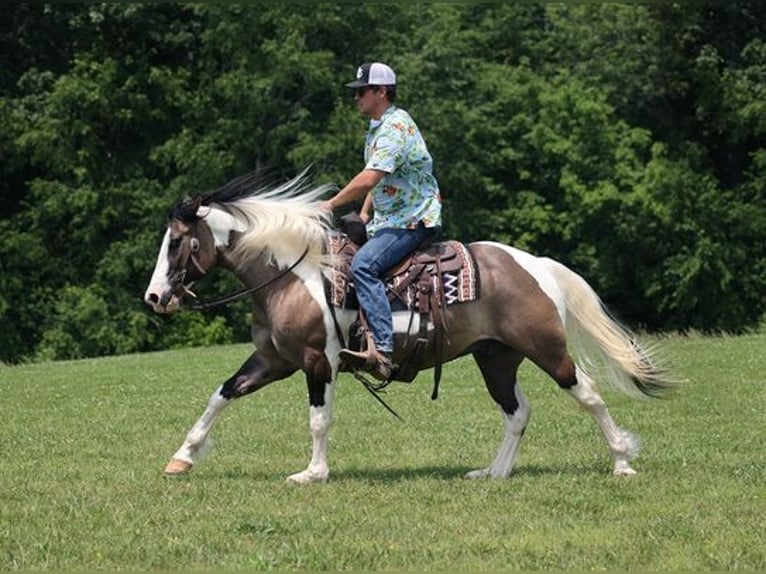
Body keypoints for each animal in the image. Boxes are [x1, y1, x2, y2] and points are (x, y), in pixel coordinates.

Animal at [144, 169, 680, 484]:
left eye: (177, 242)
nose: (154, 297)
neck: (296, 274)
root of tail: (536, 265)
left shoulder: (319, 361)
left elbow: (319, 419)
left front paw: (313, 473)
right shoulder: (274, 359)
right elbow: (221, 394)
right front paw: (182, 457)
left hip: (547, 348)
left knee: (587, 394)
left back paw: (622, 461)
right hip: (496, 357)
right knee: (517, 412)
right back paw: (493, 472)